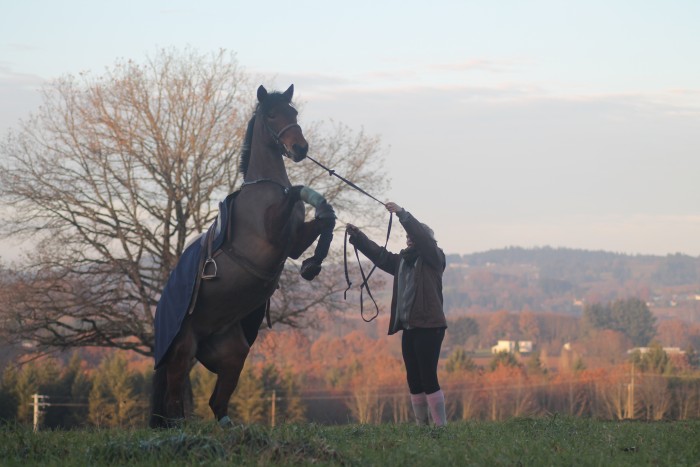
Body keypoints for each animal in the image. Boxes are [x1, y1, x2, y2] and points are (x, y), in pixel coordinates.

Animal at [152, 83, 336, 428]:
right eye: (272, 114)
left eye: (293, 112)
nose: (300, 148)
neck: (265, 187)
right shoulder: (273, 235)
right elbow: (298, 190)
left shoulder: (293, 243)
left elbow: (325, 220)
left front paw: (313, 264)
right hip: (182, 350)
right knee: (173, 402)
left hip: (232, 353)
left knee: (217, 402)